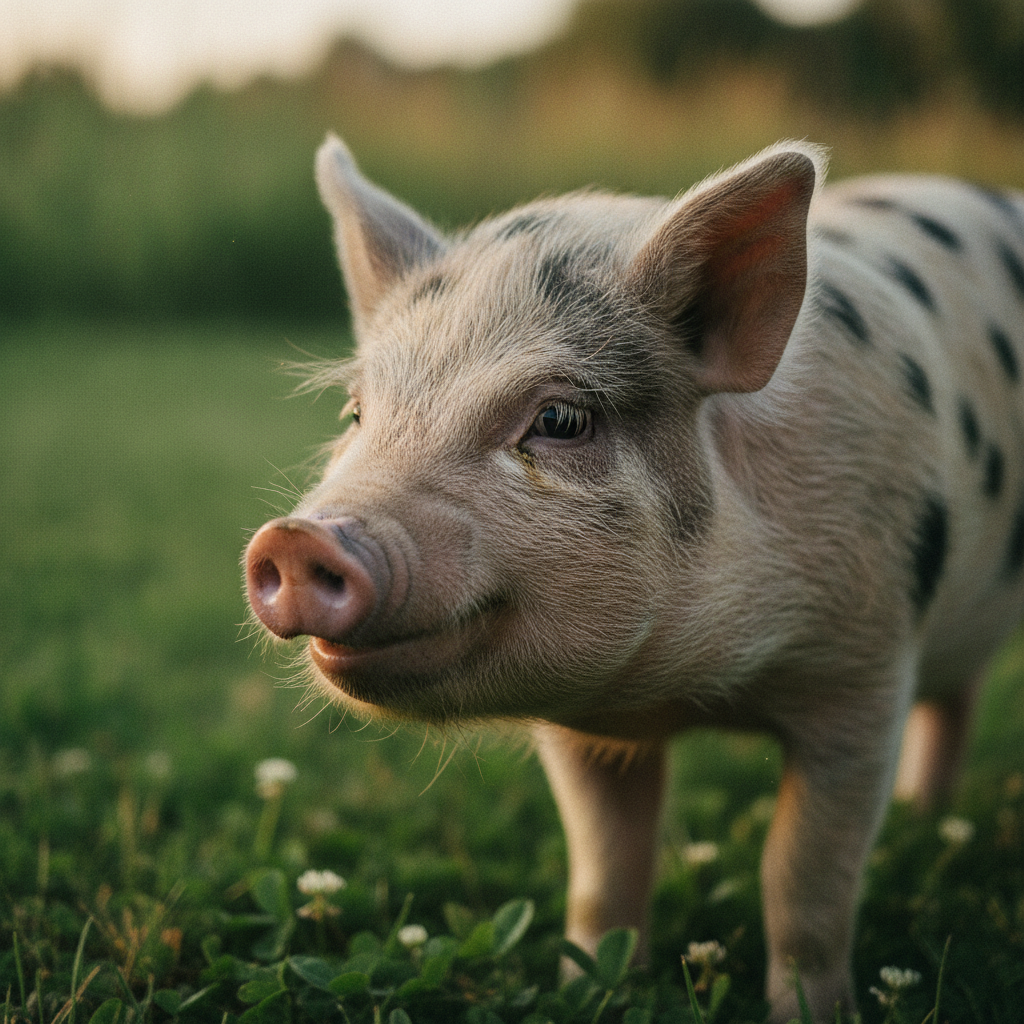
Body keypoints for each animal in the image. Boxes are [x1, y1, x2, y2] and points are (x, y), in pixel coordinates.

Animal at [244, 134, 1024, 1021]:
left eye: (559, 420)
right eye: (356, 415)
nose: (297, 538)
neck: (700, 689)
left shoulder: (864, 672)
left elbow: (804, 880)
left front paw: (809, 1012)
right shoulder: (585, 729)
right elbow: (604, 863)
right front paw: (590, 988)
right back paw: (928, 816)